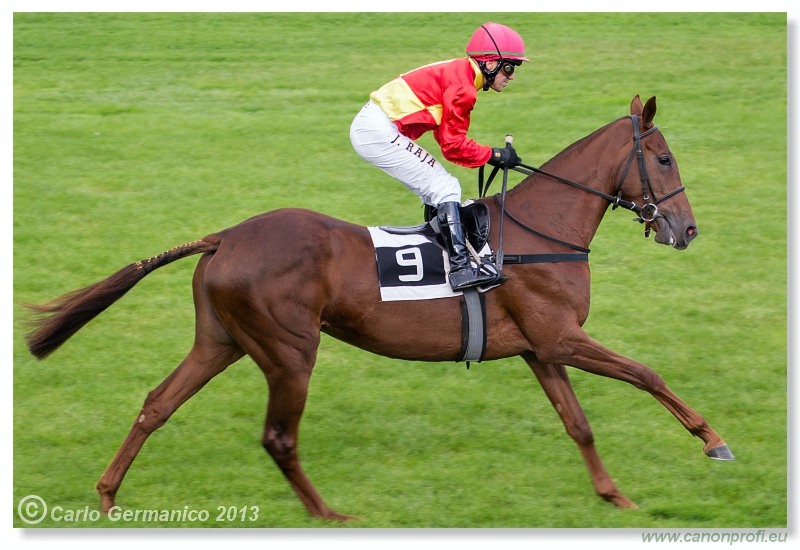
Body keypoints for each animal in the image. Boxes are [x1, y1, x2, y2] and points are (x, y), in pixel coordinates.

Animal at [21, 95, 736, 520]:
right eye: (664, 158)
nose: (687, 230)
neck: (537, 235)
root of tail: (226, 235)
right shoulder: (560, 338)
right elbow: (646, 373)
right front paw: (713, 441)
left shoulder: (540, 347)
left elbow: (579, 423)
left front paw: (613, 494)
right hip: (289, 351)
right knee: (278, 436)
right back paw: (327, 516)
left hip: (219, 342)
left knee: (156, 405)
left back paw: (108, 496)